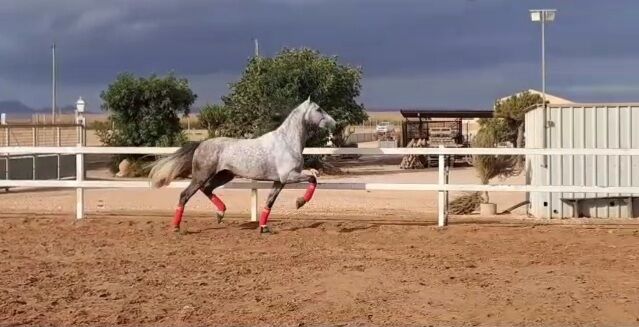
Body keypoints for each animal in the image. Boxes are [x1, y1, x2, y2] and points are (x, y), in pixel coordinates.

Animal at [148, 98, 338, 234]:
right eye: (318, 109)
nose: (335, 123)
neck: (287, 142)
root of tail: (201, 144)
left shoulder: (279, 181)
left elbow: (270, 202)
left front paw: (264, 228)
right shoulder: (289, 176)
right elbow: (313, 178)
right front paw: (300, 202)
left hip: (225, 175)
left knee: (207, 189)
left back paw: (220, 214)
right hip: (202, 175)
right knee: (185, 195)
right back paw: (176, 227)